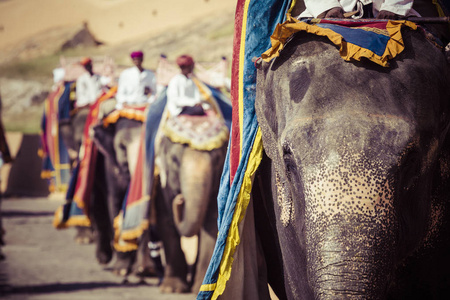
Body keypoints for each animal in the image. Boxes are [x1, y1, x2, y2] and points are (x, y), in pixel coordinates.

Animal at [156, 132, 227, 294]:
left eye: (218, 160)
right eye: (174, 160)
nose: (180, 199)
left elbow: (211, 223)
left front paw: (200, 288)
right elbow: (166, 221)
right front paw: (172, 289)